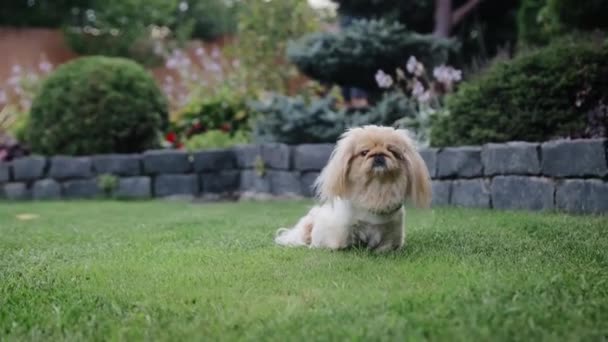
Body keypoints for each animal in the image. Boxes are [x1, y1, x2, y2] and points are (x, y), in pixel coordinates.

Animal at [276, 125, 432, 251]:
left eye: (392, 152)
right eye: (364, 152)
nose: (379, 154)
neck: (377, 187)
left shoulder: (391, 229)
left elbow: (384, 247)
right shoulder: (345, 228)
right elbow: (343, 242)